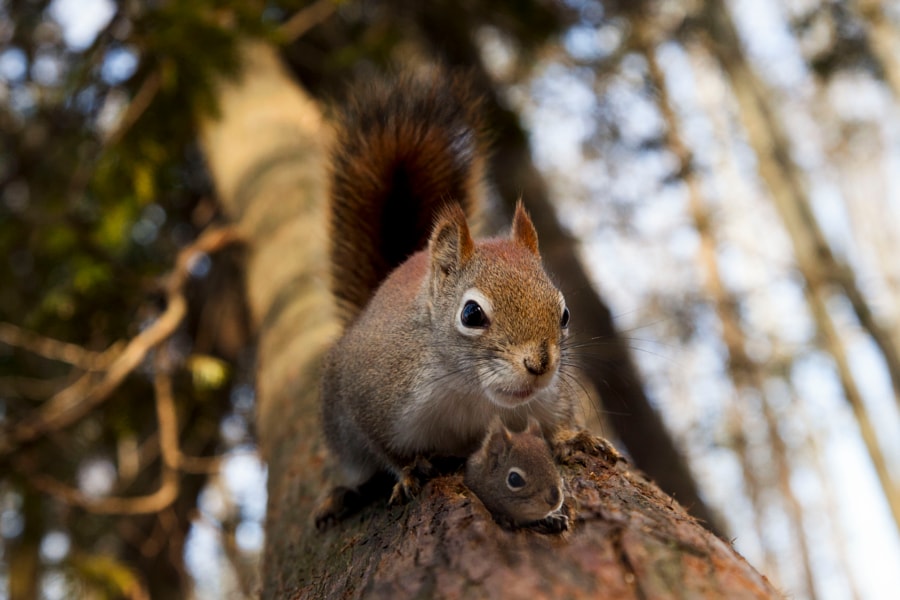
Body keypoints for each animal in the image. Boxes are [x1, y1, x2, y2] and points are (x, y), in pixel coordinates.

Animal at [312, 69, 572, 528]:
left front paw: (568, 437)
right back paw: (337, 495)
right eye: (471, 313)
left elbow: (553, 421)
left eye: (564, 314)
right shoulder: (373, 398)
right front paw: (408, 474)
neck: (470, 390)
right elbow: (386, 449)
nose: (540, 365)